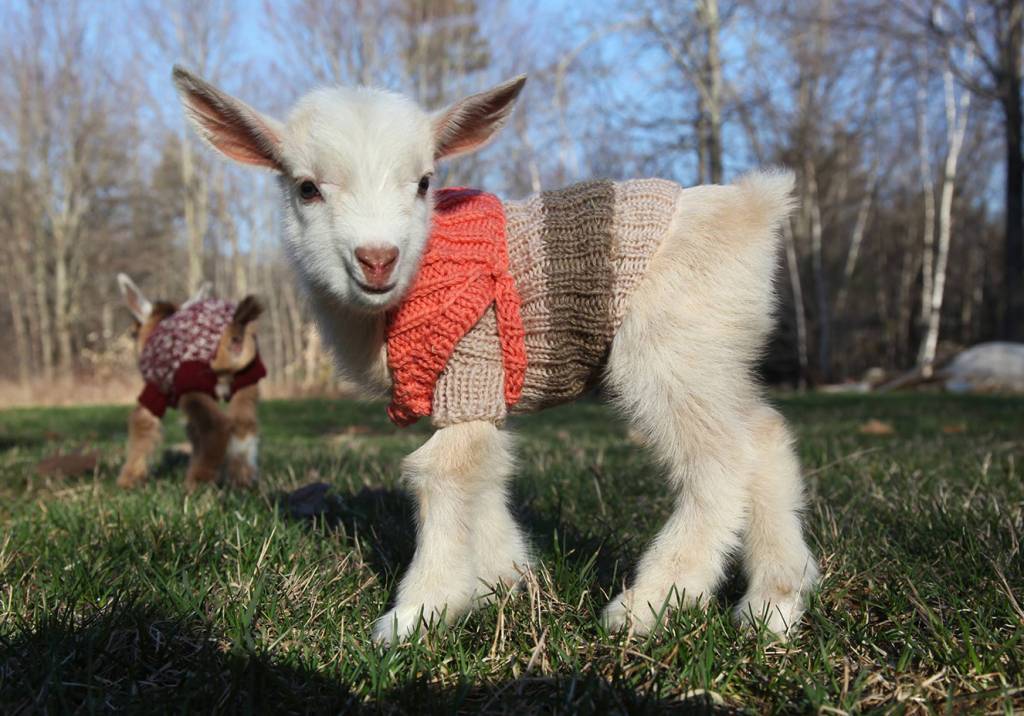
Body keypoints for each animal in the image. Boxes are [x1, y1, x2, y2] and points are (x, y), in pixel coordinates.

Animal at [116, 274, 266, 492]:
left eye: (133, 333)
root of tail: (233, 333)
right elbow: (192, 431)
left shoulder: (155, 390)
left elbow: (141, 423)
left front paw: (128, 480)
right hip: (247, 379)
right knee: (243, 424)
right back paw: (242, 480)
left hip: (191, 381)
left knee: (216, 426)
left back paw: (197, 483)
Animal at [172, 67, 820, 644]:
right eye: (306, 187)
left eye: (424, 182)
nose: (377, 258)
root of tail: (753, 209)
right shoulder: (471, 394)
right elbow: (485, 473)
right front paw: (503, 579)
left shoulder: (470, 364)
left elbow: (444, 471)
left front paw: (418, 614)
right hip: (716, 352)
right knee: (764, 435)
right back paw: (775, 605)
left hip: (668, 350)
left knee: (721, 459)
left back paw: (648, 606)